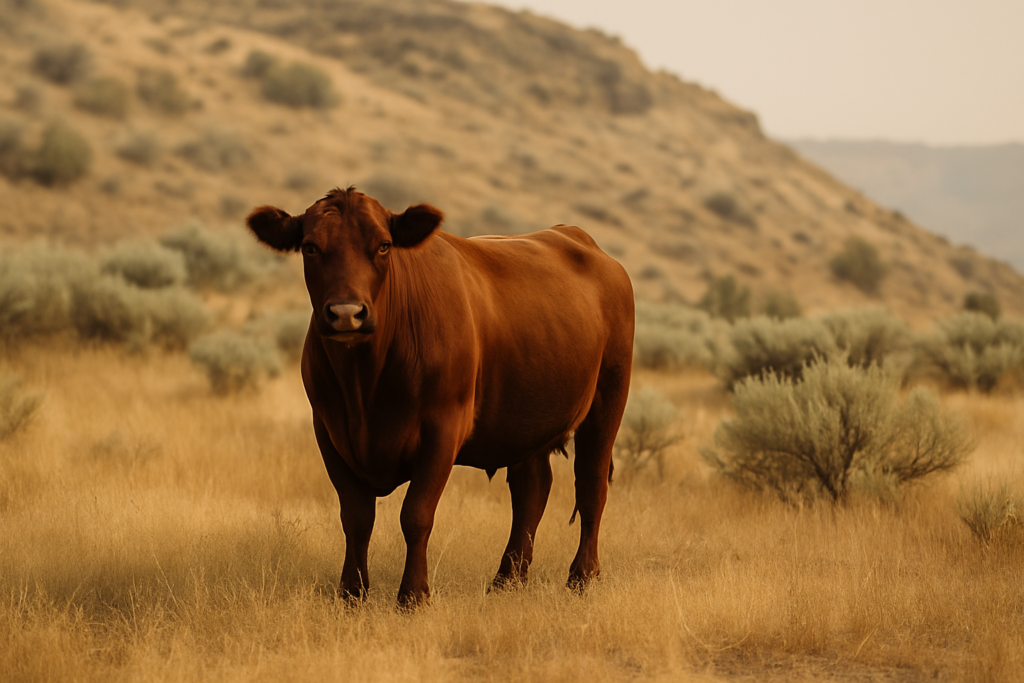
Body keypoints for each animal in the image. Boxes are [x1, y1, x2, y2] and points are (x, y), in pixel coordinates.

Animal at [246, 187, 634, 606]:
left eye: (383, 246)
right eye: (310, 247)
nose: (347, 313)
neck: (365, 385)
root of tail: (578, 237)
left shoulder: (444, 428)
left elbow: (416, 514)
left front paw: (413, 595)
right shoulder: (329, 431)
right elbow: (356, 517)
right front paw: (352, 594)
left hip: (608, 398)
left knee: (591, 484)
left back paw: (581, 577)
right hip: (527, 416)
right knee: (532, 490)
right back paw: (507, 580)